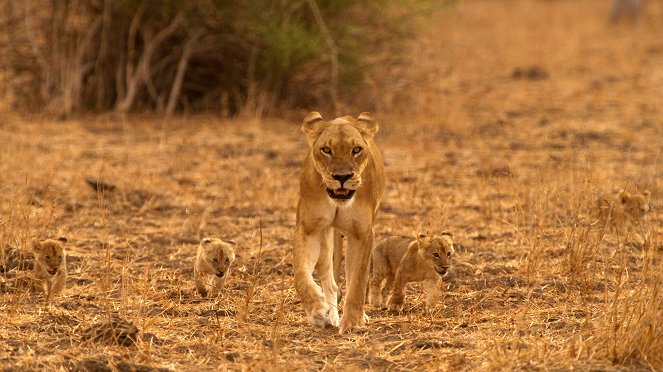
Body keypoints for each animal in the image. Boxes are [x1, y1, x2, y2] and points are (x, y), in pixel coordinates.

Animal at [294, 110, 386, 334]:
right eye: (326, 150)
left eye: (356, 149)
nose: (342, 177)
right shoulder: (308, 229)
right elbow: (300, 274)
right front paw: (317, 310)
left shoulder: (361, 233)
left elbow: (358, 280)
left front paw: (353, 322)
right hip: (326, 236)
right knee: (329, 279)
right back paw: (331, 314)